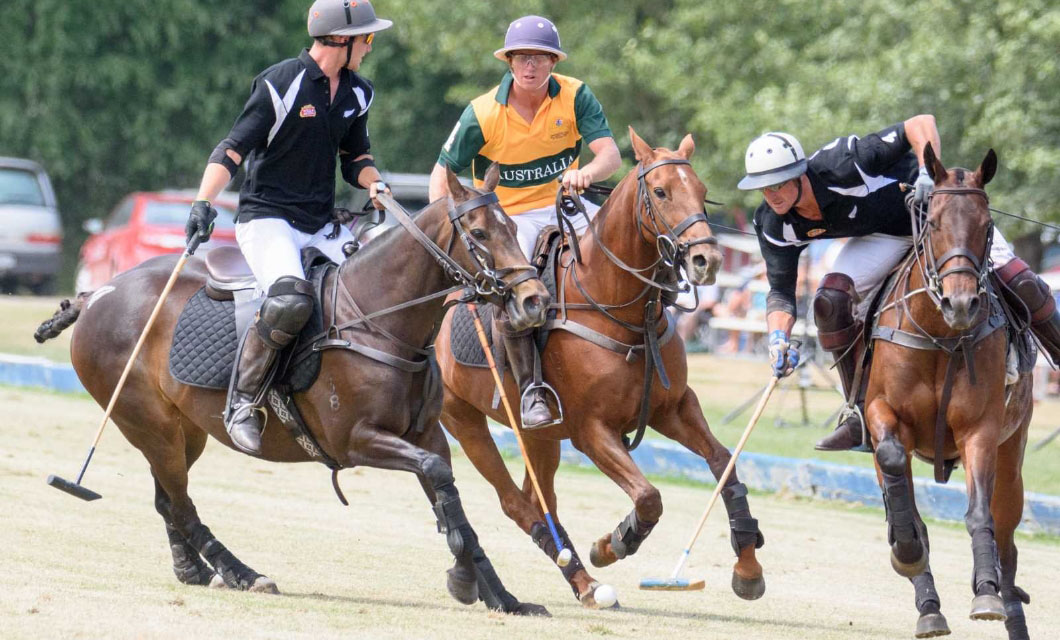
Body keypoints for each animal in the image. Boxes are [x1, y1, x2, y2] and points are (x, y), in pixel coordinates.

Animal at [35, 167, 555, 618]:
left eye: (513, 226)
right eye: (481, 233)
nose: (534, 301)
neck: (379, 320)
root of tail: (97, 294)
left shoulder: (426, 435)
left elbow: (448, 494)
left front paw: (503, 597)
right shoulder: (356, 440)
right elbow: (438, 480)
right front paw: (464, 579)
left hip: (183, 429)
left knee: (167, 498)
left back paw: (193, 570)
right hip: (147, 422)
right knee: (179, 502)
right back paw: (242, 573)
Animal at [434, 126, 767, 610]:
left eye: (703, 191)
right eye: (661, 191)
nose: (707, 261)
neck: (622, 310)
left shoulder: (674, 408)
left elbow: (725, 464)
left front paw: (748, 568)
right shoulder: (590, 429)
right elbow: (648, 496)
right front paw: (615, 543)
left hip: (539, 437)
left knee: (541, 500)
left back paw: (580, 580)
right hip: (463, 420)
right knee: (516, 503)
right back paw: (580, 577)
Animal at [864, 145, 1030, 640]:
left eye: (987, 224)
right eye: (933, 221)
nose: (960, 304)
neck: (940, 335)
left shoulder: (981, 430)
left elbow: (980, 516)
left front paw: (986, 593)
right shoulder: (879, 412)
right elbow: (896, 472)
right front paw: (907, 552)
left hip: (1013, 455)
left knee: (1007, 540)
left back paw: (1004, 600)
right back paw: (928, 608)